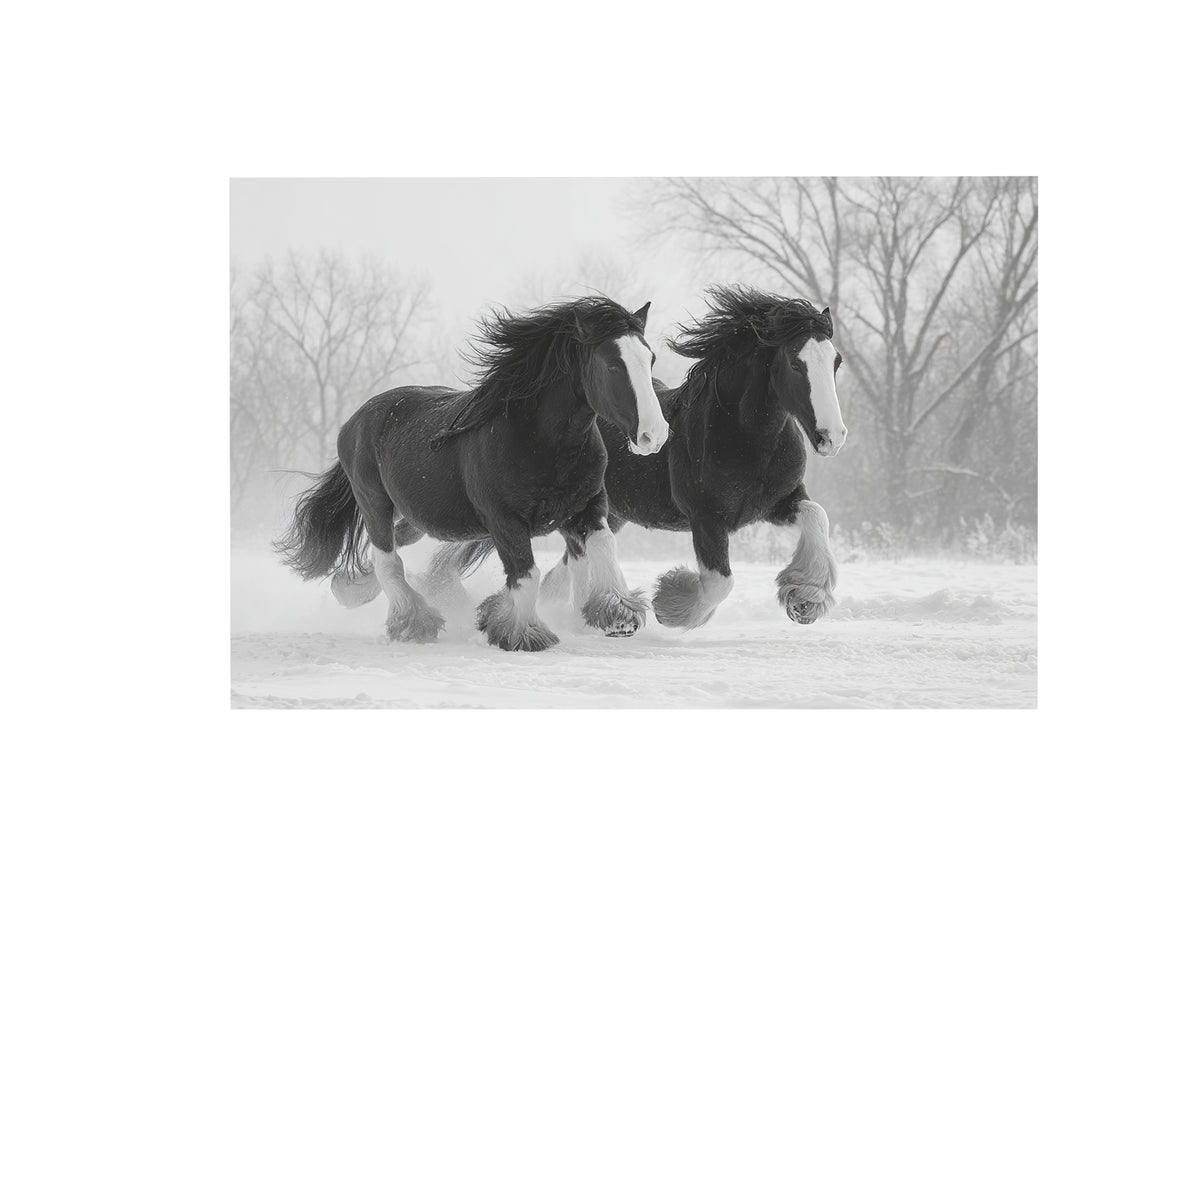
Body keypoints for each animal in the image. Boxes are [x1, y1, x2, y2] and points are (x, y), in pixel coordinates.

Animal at [274, 296, 670, 652]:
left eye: (649, 358)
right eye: (613, 365)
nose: (654, 435)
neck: (543, 442)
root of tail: (355, 420)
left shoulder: (587, 508)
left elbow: (604, 549)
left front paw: (618, 615)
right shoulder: (505, 521)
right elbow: (527, 575)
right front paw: (520, 634)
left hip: (416, 518)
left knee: (390, 550)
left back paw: (351, 590)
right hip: (374, 503)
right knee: (388, 561)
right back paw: (414, 623)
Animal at [428, 286, 846, 632]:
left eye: (836, 361)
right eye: (796, 363)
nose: (833, 436)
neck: (745, 438)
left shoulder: (780, 501)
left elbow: (818, 516)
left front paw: (805, 600)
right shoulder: (706, 518)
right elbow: (719, 582)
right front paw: (670, 605)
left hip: (607, 516)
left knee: (564, 569)